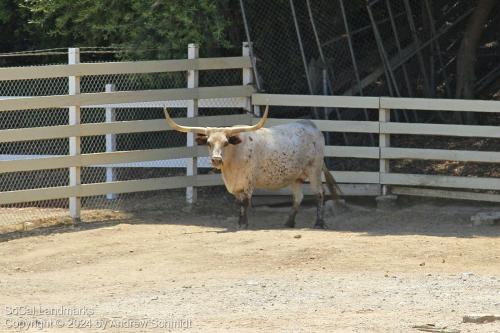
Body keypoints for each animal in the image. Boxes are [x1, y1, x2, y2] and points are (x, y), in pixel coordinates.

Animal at [164, 106, 340, 228]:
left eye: (226, 143)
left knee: (319, 194)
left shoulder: (248, 182)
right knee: (298, 197)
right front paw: (239, 222)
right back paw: (289, 222)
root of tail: (311, 125)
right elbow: (238, 202)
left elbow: (245, 202)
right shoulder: (235, 186)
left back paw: (319, 223)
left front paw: (243, 224)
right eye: (208, 143)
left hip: (314, 170)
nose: (216, 160)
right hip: (296, 176)